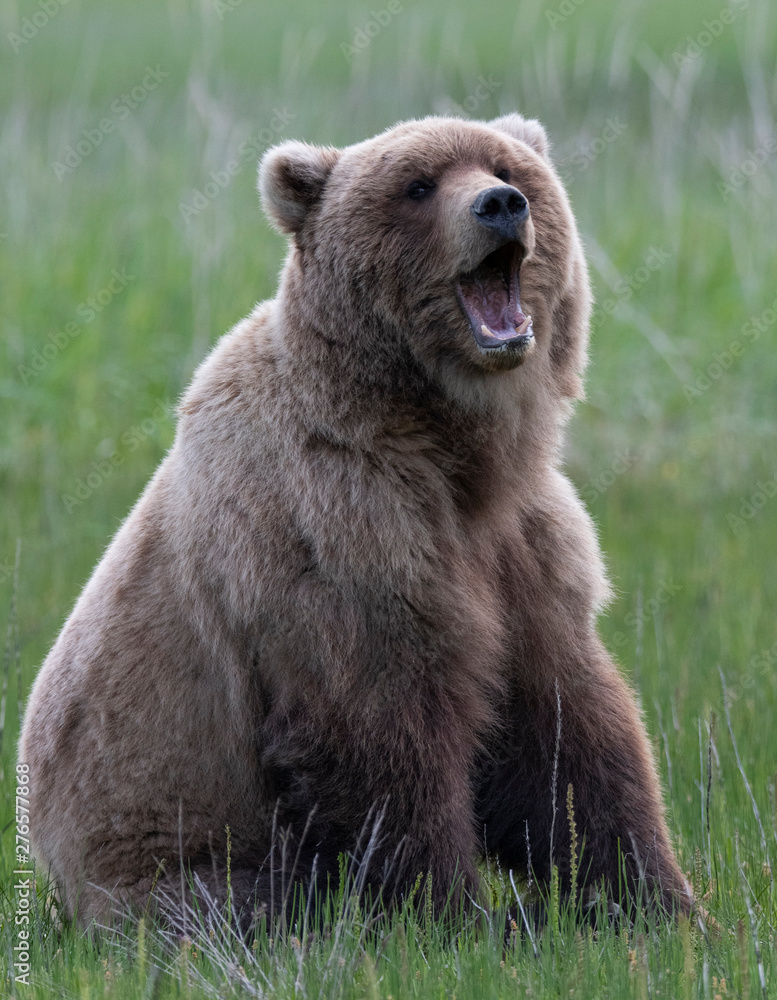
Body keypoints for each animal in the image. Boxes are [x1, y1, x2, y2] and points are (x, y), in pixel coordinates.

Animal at [20, 113, 692, 929]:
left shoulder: (523, 546)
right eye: (418, 185)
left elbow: (567, 730)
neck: (449, 449)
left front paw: (656, 901)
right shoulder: (338, 536)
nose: (500, 205)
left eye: (507, 167)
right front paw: (451, 916)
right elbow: (383, 747)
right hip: (168, 855)